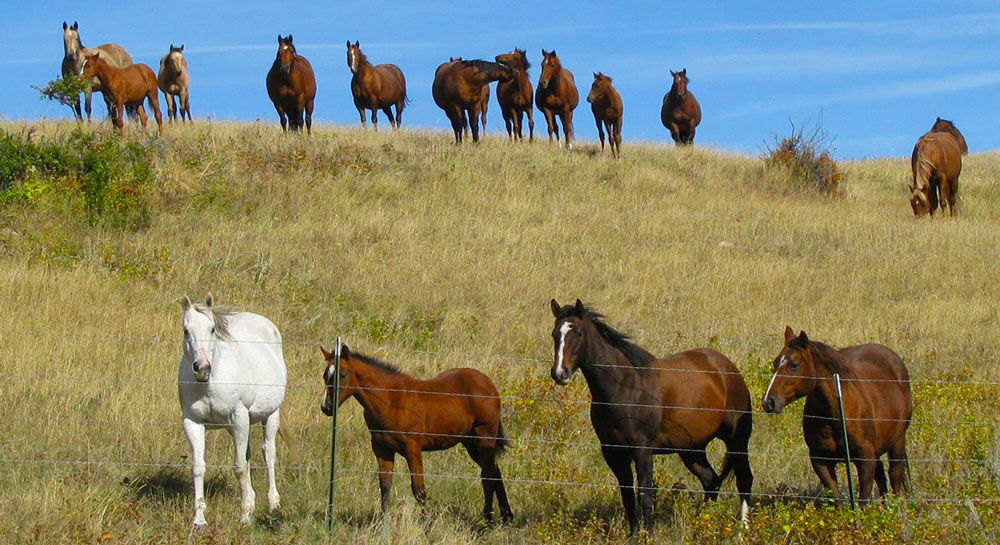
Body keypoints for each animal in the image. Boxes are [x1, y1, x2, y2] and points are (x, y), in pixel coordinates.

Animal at [176, 294, 284, 528]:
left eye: (212, 329)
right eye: (186, 330)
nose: (202, 368)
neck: (210, 384)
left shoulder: (238, 418)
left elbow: (239, 467)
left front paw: (244, 517)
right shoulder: (192, 422)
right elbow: (198, 467)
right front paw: (199, 519)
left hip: (271, 415)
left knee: (269, 453)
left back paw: (273, 503)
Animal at [322, 344, 516, 524]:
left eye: (342, 375)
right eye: (325, 376)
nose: (326, 407)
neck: (390, 400)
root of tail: (487, 382)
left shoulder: (412, 449)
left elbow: (419, 489)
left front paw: (426, 525)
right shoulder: (382, 449)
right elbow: (385, 486)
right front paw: (383, 524)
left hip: (484, 435)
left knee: (487, 475)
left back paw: (488, 521)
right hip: (470, 442)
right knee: (494, 470)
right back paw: (506, 516)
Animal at [552, 300, 752, 536]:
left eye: (579, 334)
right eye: (555, 334)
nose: (560, 373)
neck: (625, 387)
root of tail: (727, 368)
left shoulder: (642, 451)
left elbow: (645, 495)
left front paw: (648, 535)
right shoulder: (612, 452)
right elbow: (628, 497)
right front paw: (633, 536)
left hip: (737, 440)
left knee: (744, 480)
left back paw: (742, 530)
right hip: (691, 449)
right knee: (711, 481)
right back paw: (702, 525)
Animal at [760, 326, 912, 504]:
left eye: (794, 365)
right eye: (775, 362)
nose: (768, 401)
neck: (834, 415)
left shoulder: (865, 459)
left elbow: (863, 498)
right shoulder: (820, 460)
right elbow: (837, 498)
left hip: (898, 441)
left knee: (895, 475)